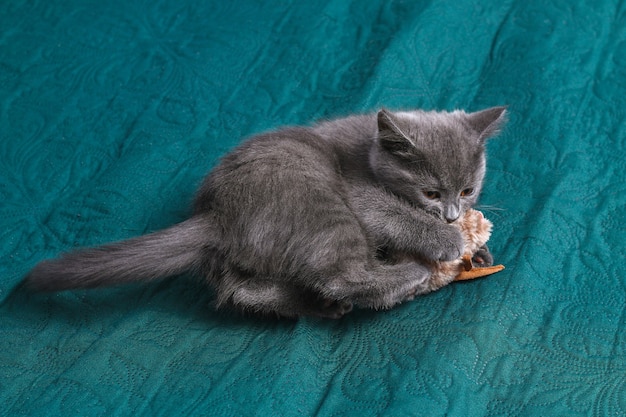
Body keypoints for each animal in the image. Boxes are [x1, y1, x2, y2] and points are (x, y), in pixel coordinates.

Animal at [24, 105, 504, 316]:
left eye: (467, 189)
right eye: (430, 192)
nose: (451, 215)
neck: (369, 151)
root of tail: (214, 214)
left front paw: (478, 253)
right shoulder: (357, 191)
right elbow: (391, 213)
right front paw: (448, 242)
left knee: (241, 291)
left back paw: (313, 304)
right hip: (320, 203)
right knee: (339, 276)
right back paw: (408, 277)